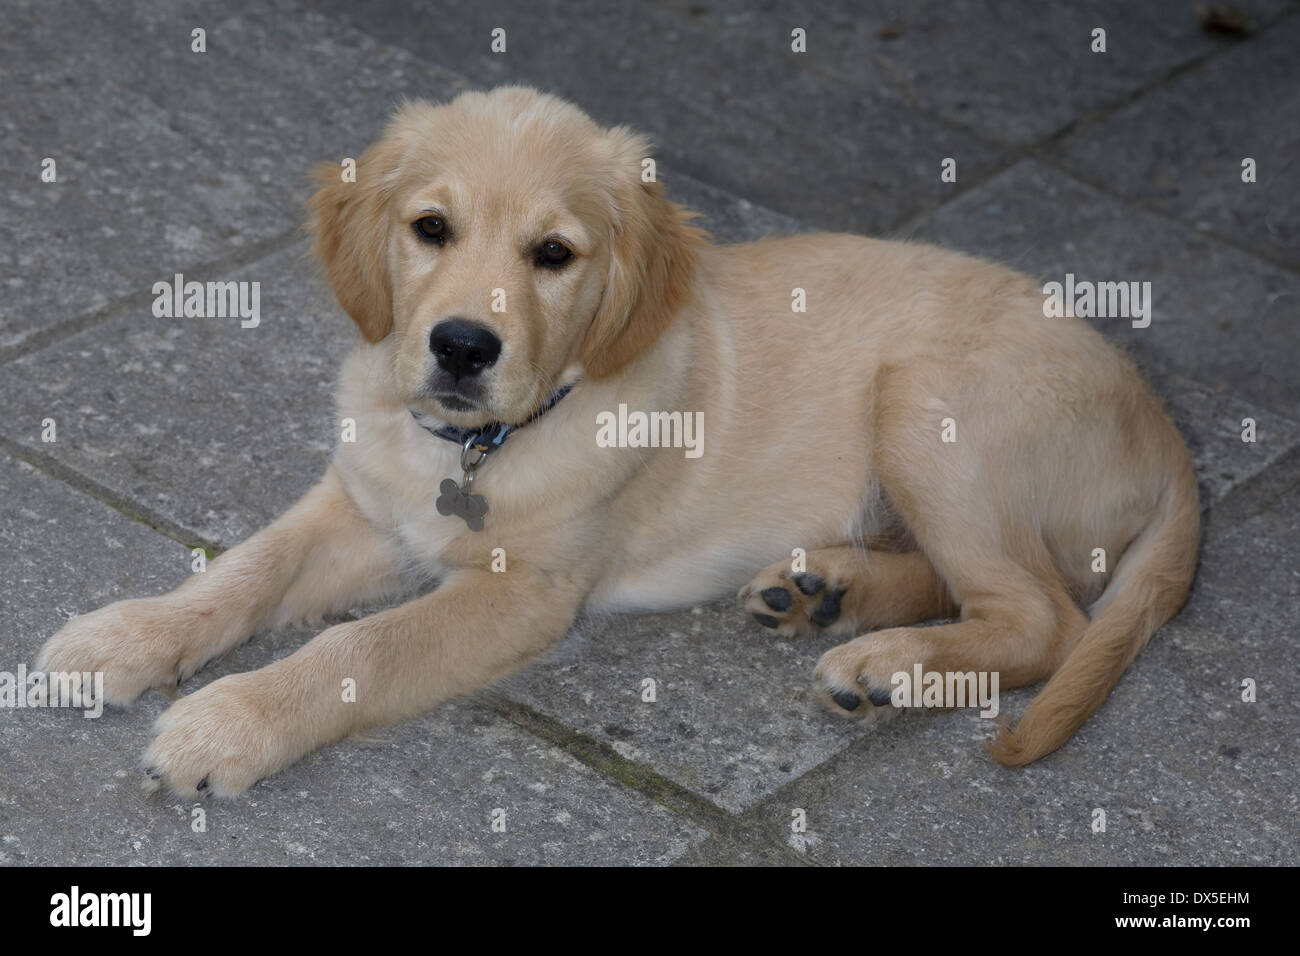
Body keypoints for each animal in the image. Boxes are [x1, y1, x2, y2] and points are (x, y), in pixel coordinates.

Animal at [38, 87, 1196, 801]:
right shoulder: (362, 502)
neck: (481, 446)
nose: (462, 345)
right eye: (430, 229)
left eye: (553, 254)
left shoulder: (524, 593)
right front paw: (123, 636)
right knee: (977, 586)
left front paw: (228, 722)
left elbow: (356, 647)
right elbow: (246, 568)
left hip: (926, 402)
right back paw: (824, 593)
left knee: (1043, 614)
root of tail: (1160, 416)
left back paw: (888, 661)